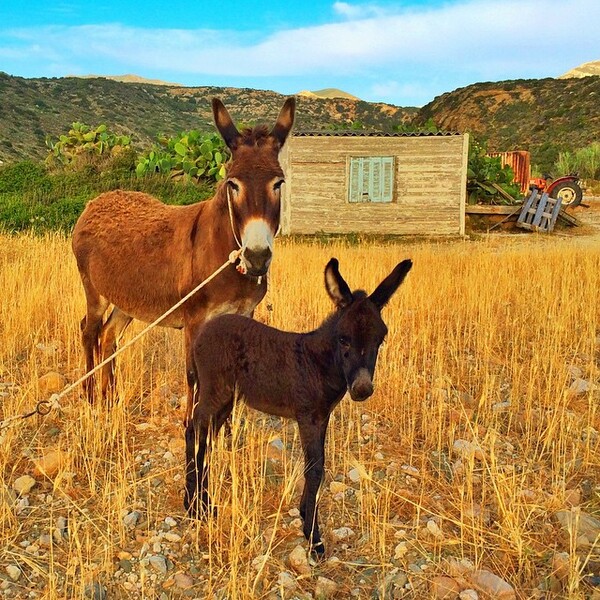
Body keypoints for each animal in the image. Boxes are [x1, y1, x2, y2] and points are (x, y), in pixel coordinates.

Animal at [186, 255, 412, 556]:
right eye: (343, 339)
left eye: (381, 339)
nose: (362, 389)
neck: (319, 362)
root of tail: (203, 332)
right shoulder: (308, 417)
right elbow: (314, 468)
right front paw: (314, 537)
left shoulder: (323, 417)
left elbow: (318, 464)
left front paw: (306, 515)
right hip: (215, 393)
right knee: (193, 432)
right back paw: (194, 507)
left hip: (225, 399)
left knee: (205, 438)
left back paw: (203, 502)